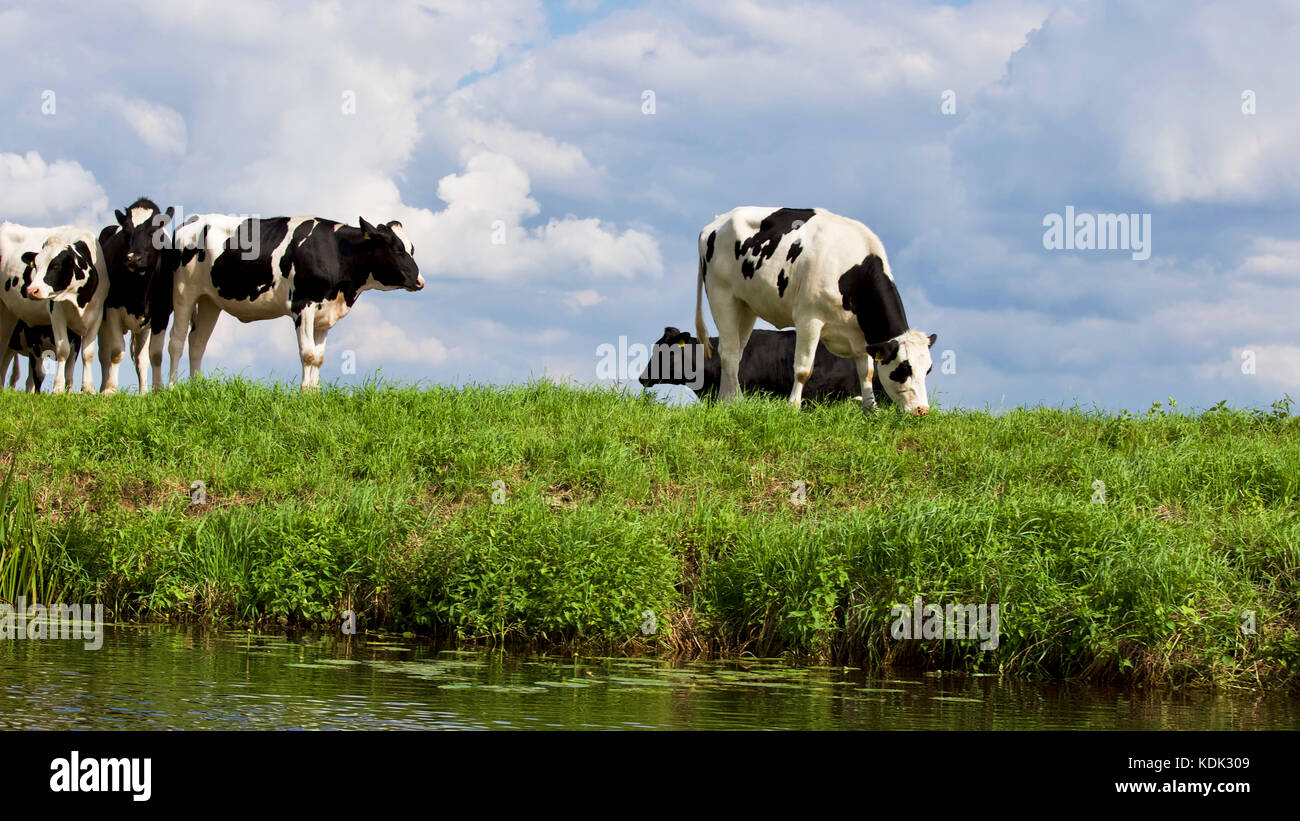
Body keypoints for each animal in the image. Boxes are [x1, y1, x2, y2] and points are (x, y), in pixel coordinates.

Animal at [0, 222, 107, 393]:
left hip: (9, 312)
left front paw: (88, 389)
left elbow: (88, 353)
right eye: (36, 266)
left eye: (56, 266)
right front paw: (57, 388)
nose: (31, 290)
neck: (78, 300)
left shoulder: (96, 314)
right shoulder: (56, 314)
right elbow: (63, 350)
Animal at [97, 197, 175, 394]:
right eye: (126, 228)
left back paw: (142, 392)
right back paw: (100, 388)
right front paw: (110, 390)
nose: (133, 258)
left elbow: (155, 355)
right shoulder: (112, 309)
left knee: (141, 358)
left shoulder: (161, 313)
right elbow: (116, 351)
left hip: (143, 328)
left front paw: (156, 390)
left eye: (155, 229)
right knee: (103, 354)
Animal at [163, 215, 424, 391]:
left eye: (412, 248)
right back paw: (172, 389)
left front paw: (315, 393)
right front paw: (305, 393)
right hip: (184, 292)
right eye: (397, 249)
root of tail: (193, 220)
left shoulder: (324, 312)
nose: (420, 281)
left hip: (209, 300)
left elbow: (319, 357)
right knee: (176, 341)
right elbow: (308, 354)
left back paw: (196, 389)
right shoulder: (303, 304)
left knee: (197, 342)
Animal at [695, 207, 936, 415]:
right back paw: (735, 400)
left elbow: (866, 372)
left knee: (736, 352)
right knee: (728, 352)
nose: (922, 410)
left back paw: (727, 400)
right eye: (904, 369)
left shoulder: (860, 336)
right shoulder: (808, 319)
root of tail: (716, 222)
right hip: (721, 294)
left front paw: (870, 409)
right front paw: (793, 407)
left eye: (928, 370)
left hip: (745, 305)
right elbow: (803, 369)